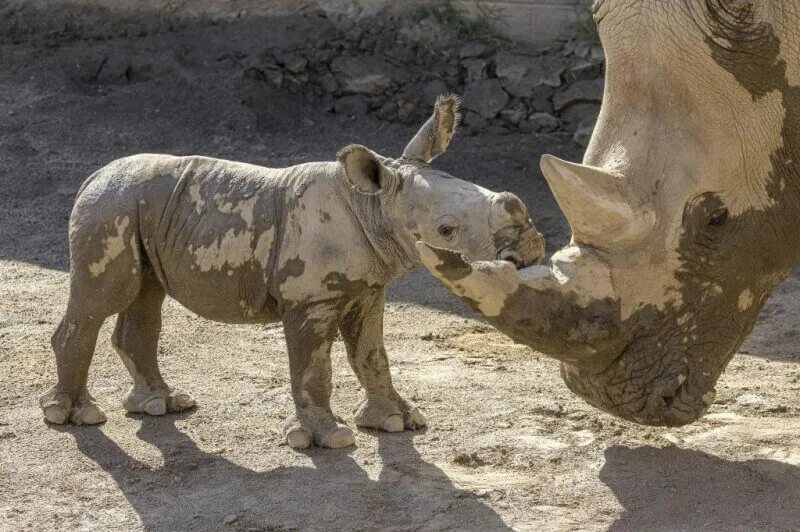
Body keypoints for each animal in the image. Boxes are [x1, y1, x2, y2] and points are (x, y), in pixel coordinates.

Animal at [42, 96, 544, 448]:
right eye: (446, 229)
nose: (530, 245)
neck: (374, 203)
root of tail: (91, 177)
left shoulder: (368, 287)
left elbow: (372, 353)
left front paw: (397, 421)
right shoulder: (310, 298)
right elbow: (313, 366)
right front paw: (330, 438)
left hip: (138, 207)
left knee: (145, 293)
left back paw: (161, 405)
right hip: (110, 207)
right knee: (104, 298)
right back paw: (74, 417)